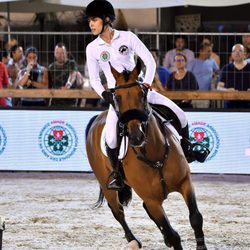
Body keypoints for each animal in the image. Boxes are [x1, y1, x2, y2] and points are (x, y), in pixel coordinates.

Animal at [86, 60, 207, 250]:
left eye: (142, 93)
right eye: (117, 97)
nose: (136, 136)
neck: (154, 154)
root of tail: (96, 119)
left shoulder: (185, 183)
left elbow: (195, 218)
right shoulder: (152, 200)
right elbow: (173, 235)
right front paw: (169, 238)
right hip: (106, 185)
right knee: (118, 212)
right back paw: (133, 240)